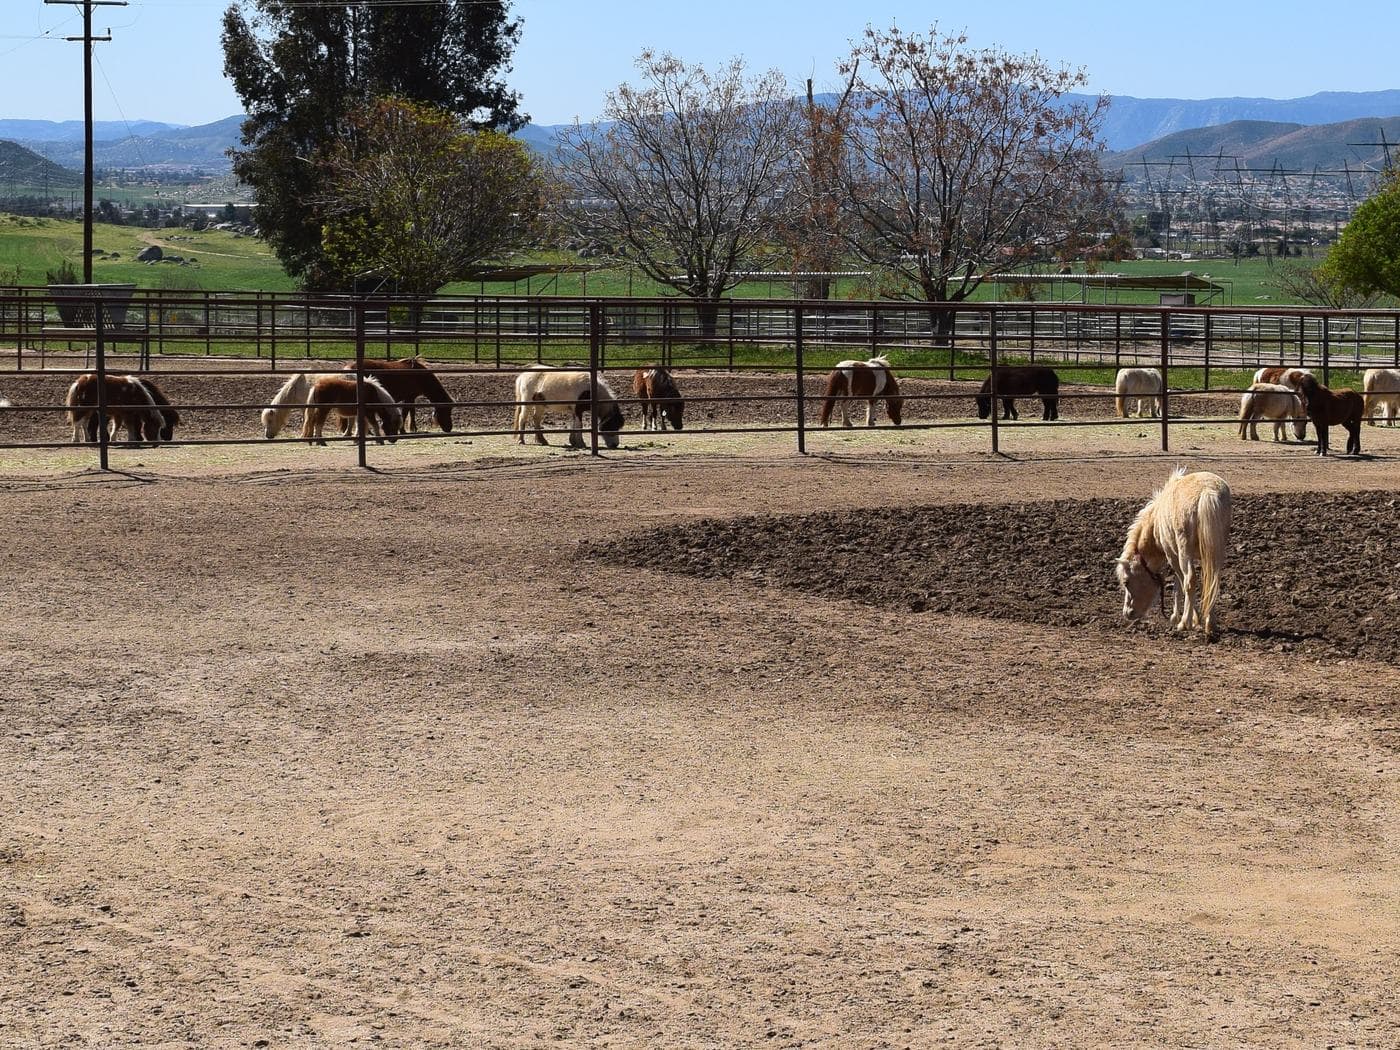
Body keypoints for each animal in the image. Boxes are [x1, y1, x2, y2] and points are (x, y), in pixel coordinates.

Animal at [1116, 467, 1232, 638]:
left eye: (1126, 581)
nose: (1128, 613)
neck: (1155, 524)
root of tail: (1207, 492)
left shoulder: (1172, 555)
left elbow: (1181, 584)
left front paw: (1188, 619)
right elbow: (1183, 583)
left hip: (1184, 550)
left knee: (1190, 580)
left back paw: (1185, 624)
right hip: (1215, 550)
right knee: (1213, 580)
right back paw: (1210, 624)